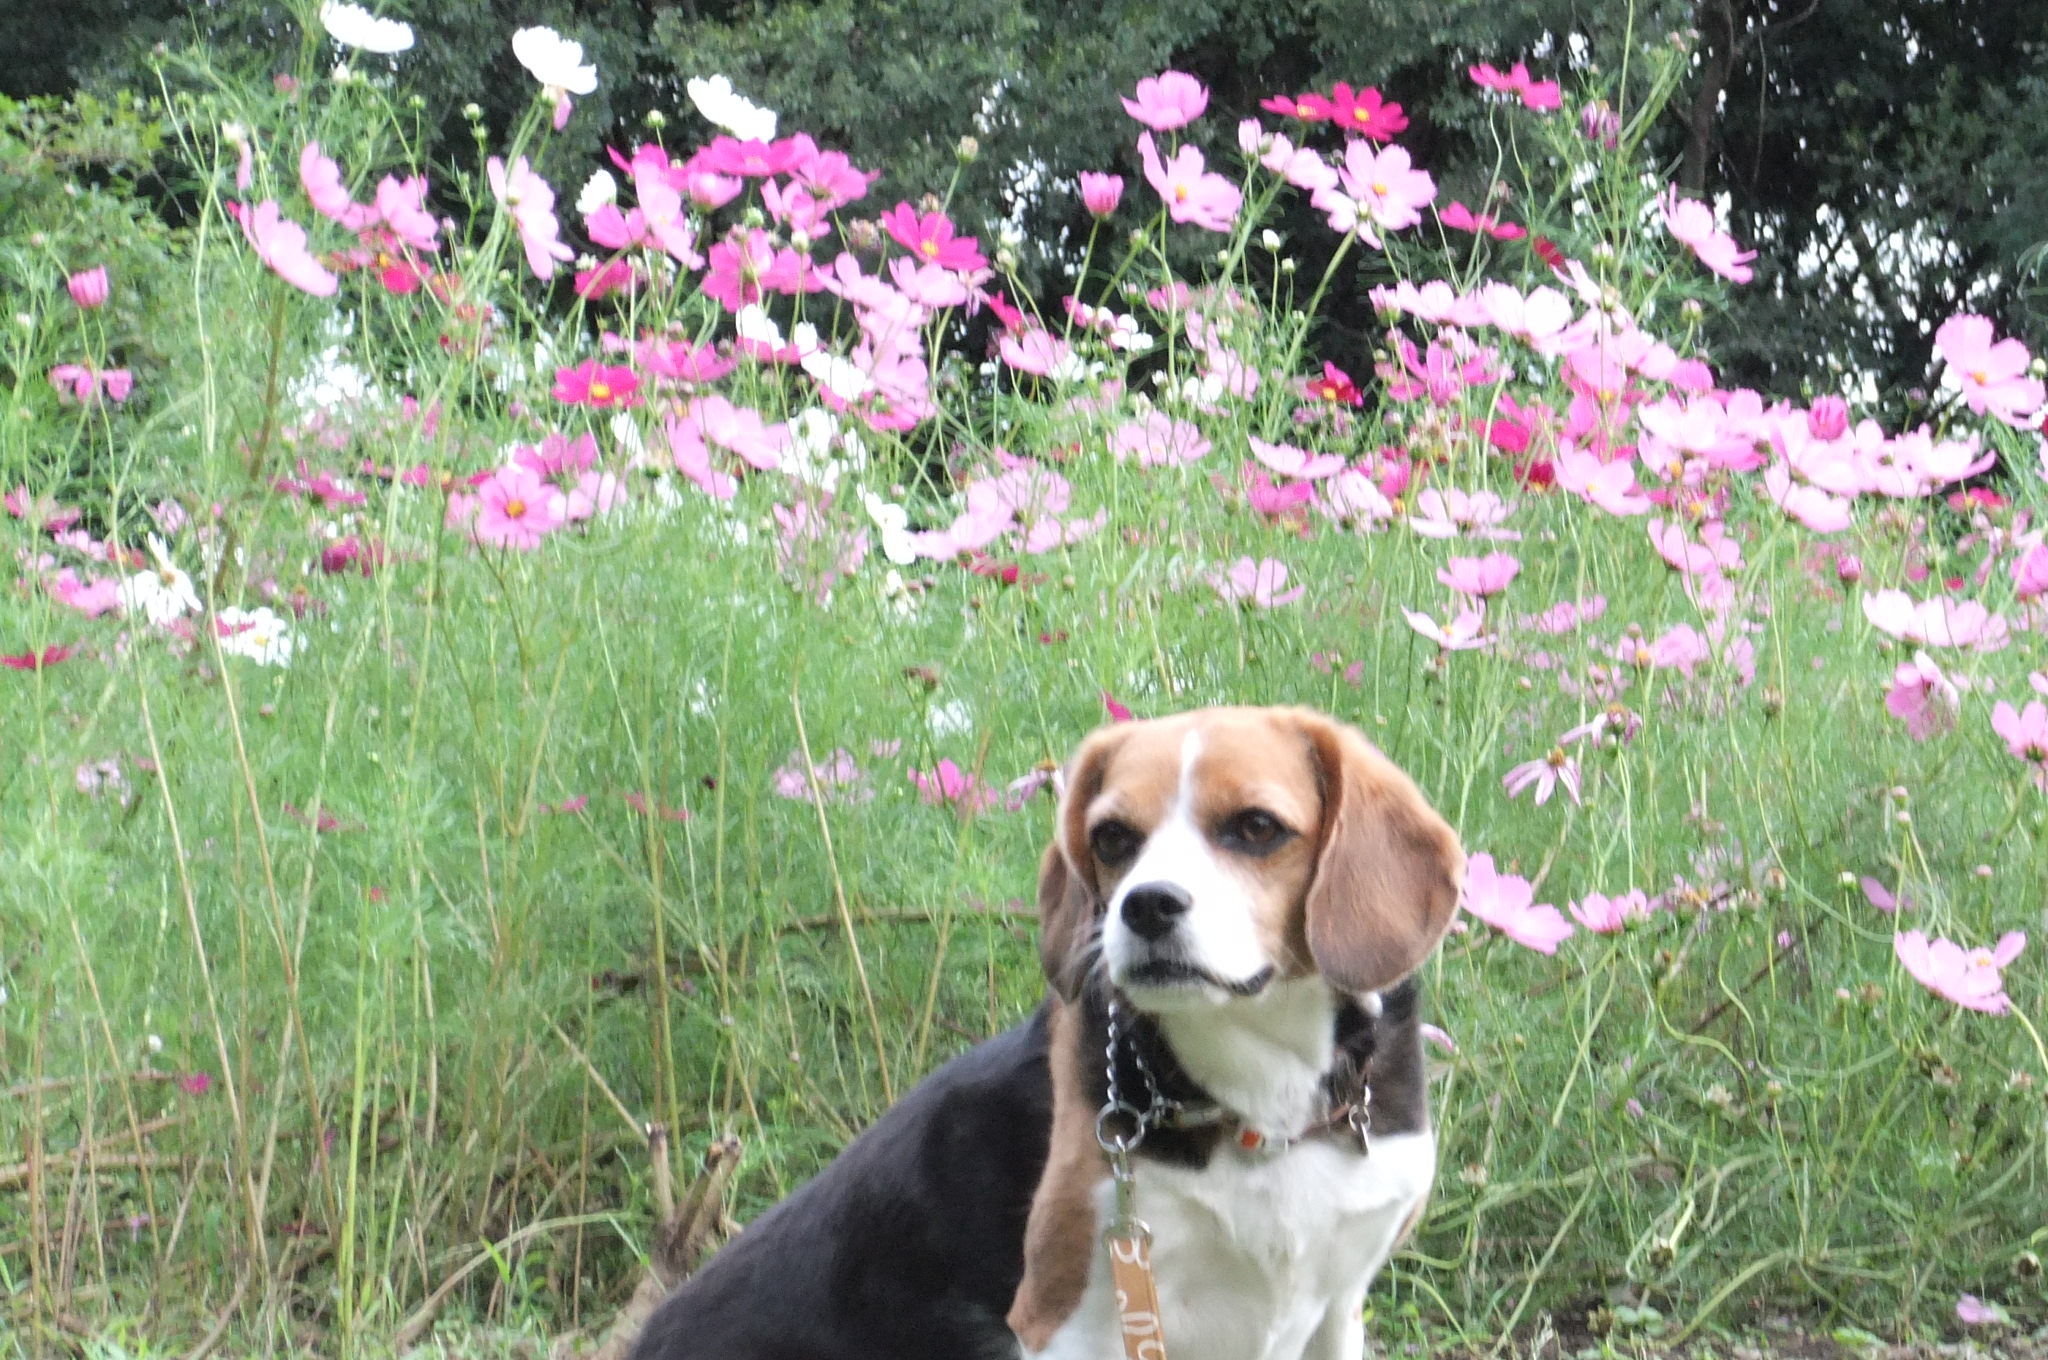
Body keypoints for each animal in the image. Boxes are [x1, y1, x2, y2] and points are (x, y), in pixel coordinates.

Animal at [630, 704, 1466, 1360]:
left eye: (1257, 828)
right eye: (1113, 838)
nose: (1145, 905)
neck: (1260, 1100)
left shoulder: (1337, 1304)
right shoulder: (1073, 1319)